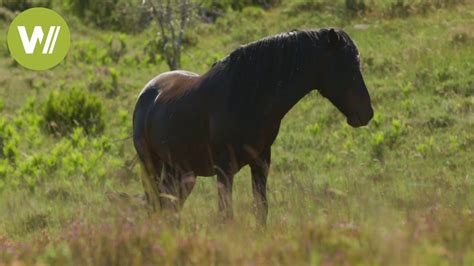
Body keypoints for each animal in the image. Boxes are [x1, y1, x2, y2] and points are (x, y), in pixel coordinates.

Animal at [133, 28, 374, 224]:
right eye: (346, 66)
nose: (367, 114)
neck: (247, 97)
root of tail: (148, 92)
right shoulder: (224, 168)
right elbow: (226, 214)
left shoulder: (261, 162)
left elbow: (261, 210)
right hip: (151, 166)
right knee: (156, 205)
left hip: (181, 172)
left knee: (170, 206)